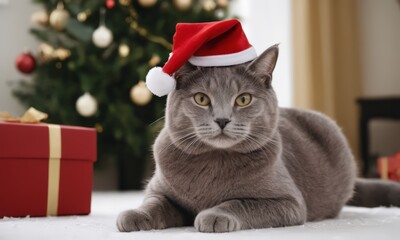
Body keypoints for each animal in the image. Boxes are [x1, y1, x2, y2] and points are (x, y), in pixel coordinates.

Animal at [116, 44, 400, 232]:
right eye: (201, 98)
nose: (222, 119)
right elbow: (154, 202)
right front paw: (133, 215)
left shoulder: (288, 202)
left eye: (243, 99)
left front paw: (214, 216)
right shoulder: (159, 188)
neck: (214, 163)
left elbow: (240, 202)